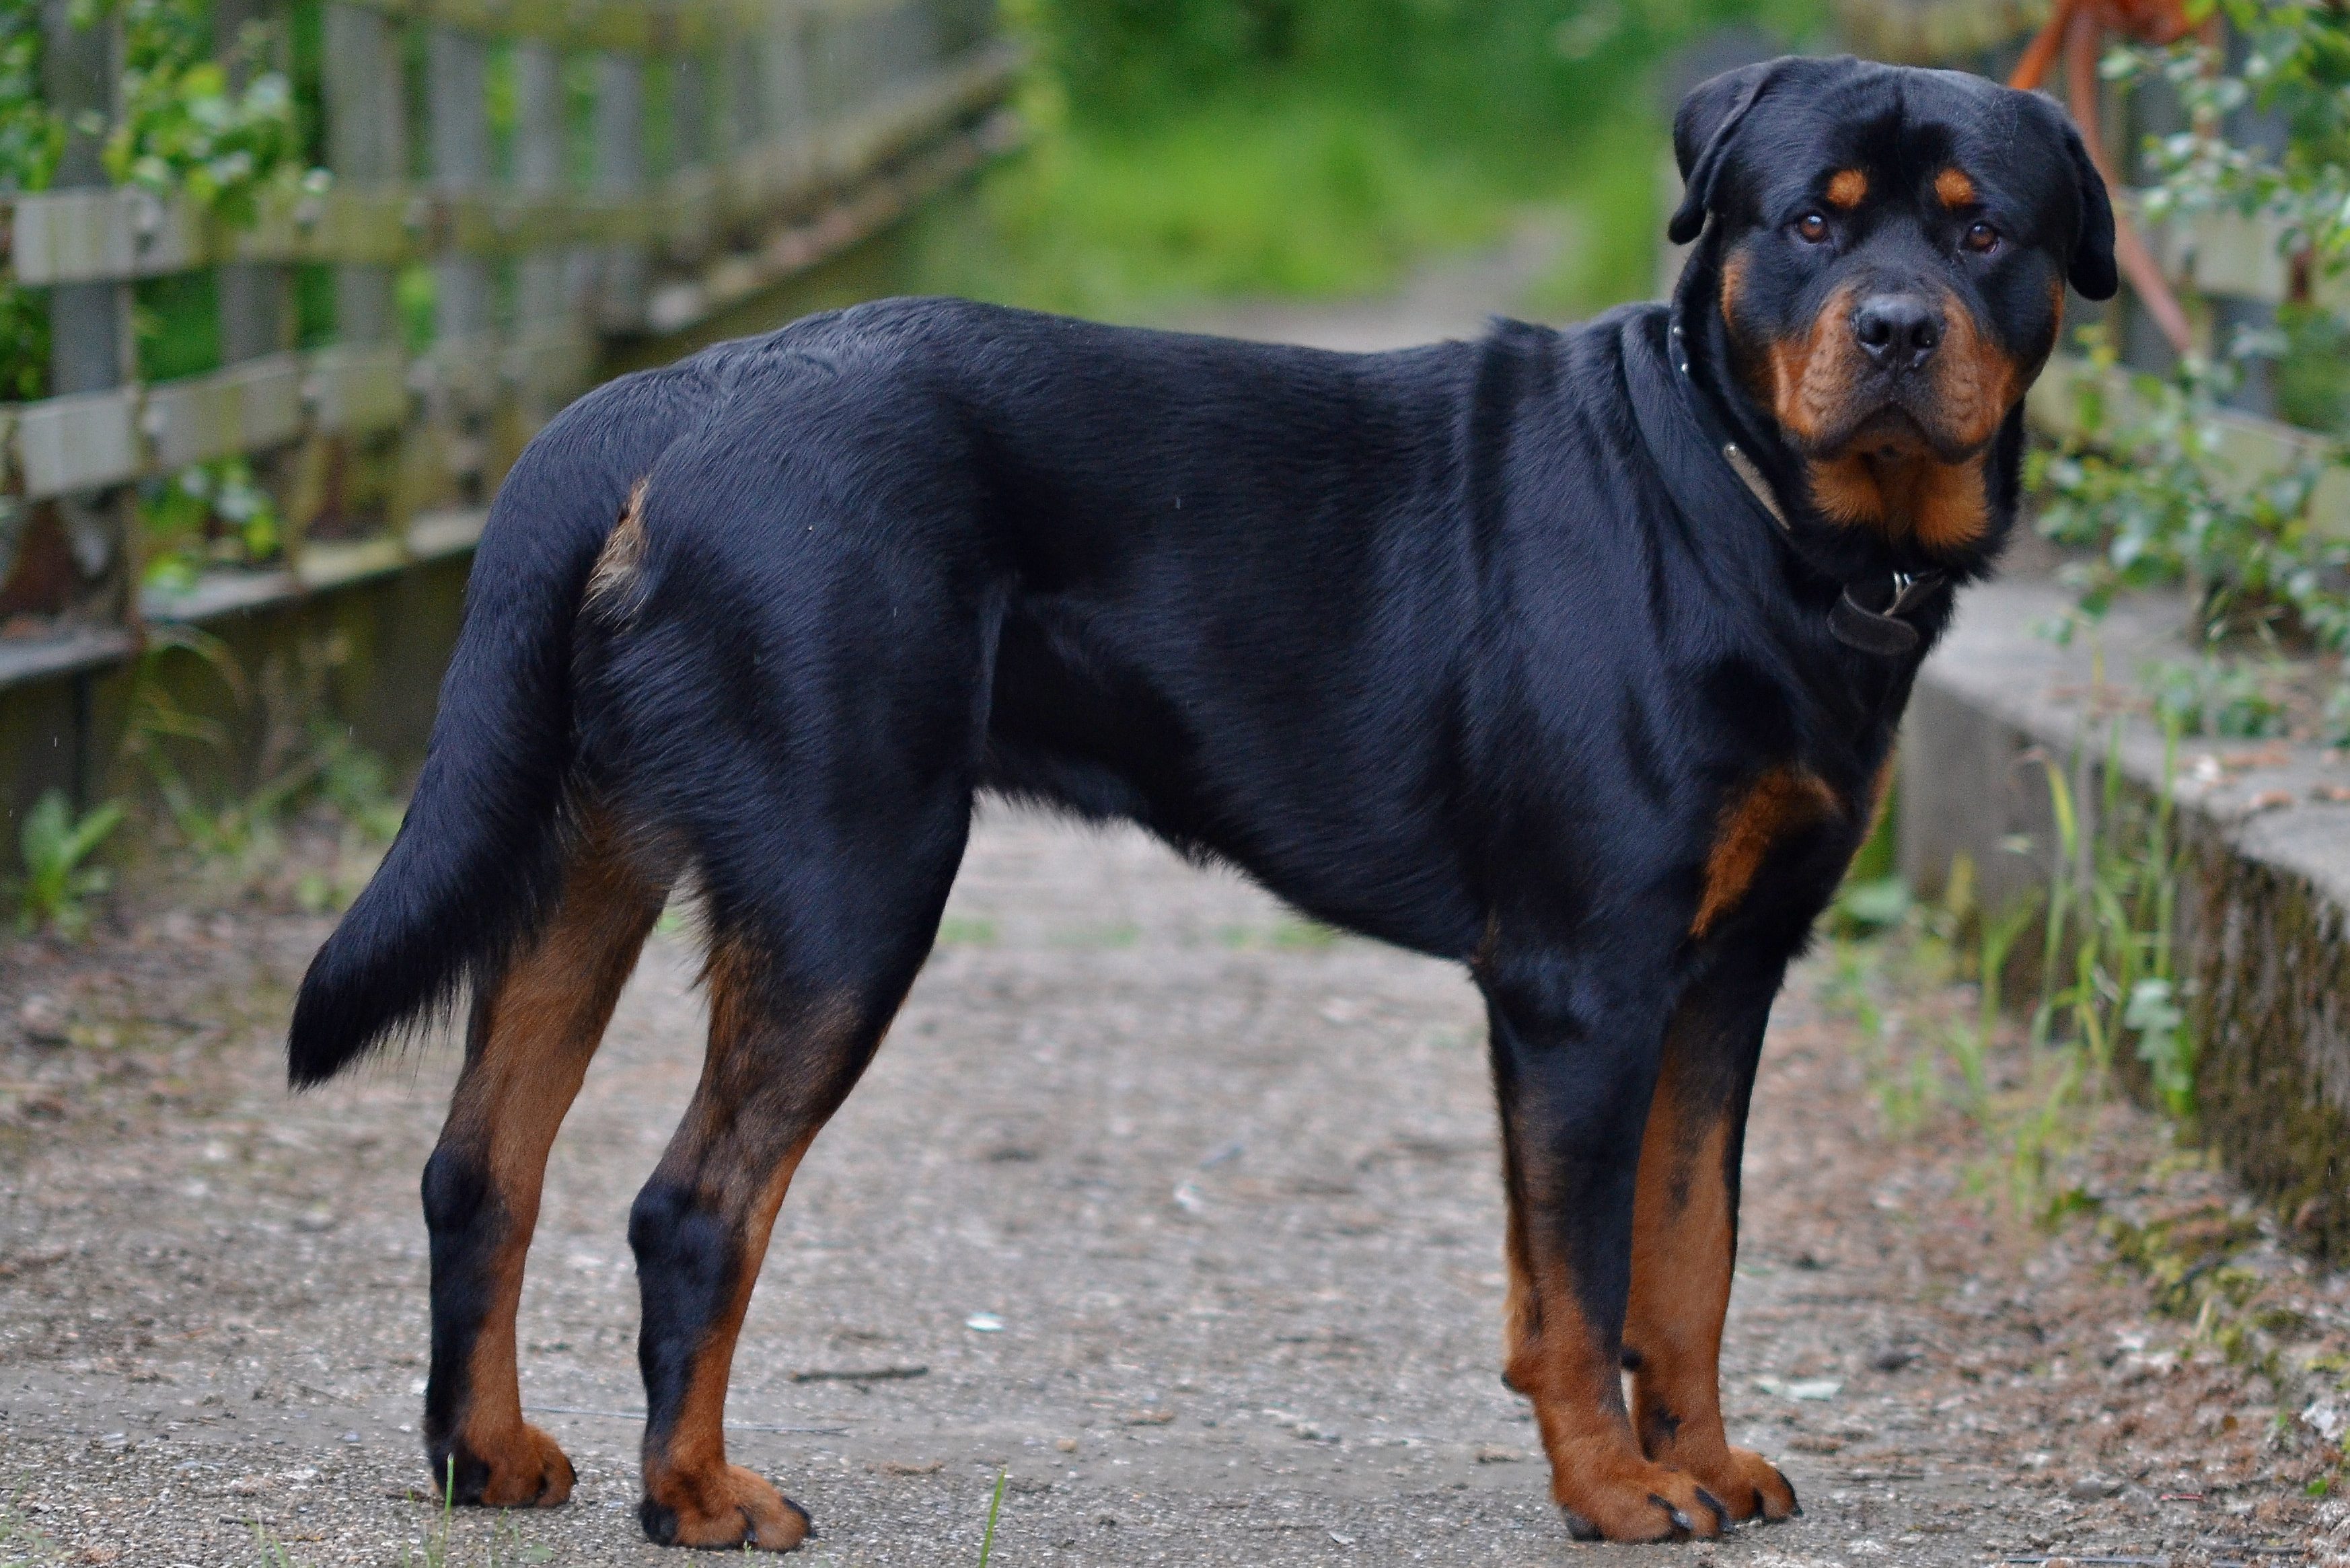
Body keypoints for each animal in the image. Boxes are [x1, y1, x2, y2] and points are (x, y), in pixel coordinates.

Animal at [289, 55, 2115, 1551]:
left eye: (1981, 236)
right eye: (1811, 223)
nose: (1895, 329)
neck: (1749, 512)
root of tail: (663, 400)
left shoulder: (1728, 973)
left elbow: (1690, 1255)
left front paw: (1708, 1462)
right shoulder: (1583, 979)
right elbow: (1581, 1279)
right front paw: (1616, 1492)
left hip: (588, 853)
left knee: (483, 1166)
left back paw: (485, 1455)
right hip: (847, 877)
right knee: (691, 1206)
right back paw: (697, 1496)